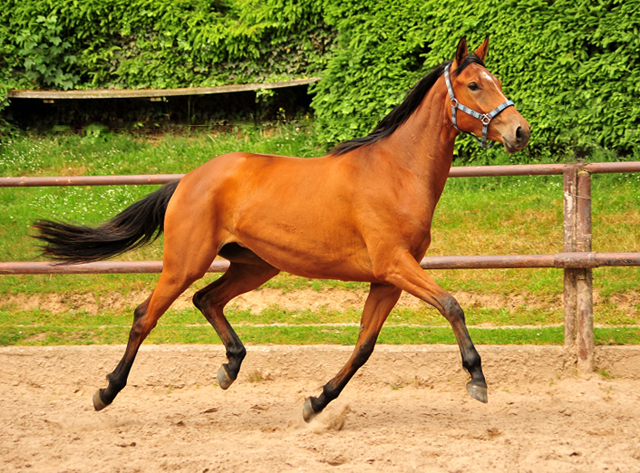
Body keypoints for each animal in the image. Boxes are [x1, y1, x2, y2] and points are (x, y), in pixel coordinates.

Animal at [32, 37, 528, 420]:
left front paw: (317, 401)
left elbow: (365, 344)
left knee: (206, 300)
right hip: (184, 263)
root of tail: (189, 179)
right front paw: (477, 379)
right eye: (473, 85)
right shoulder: (395, 265)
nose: (520, 131)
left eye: (498, 83)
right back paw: (106, 391)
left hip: (255, 266)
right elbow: (452, 305)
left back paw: (231, 367)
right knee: (144, 316)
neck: (396, 172)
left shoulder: (387, 279)